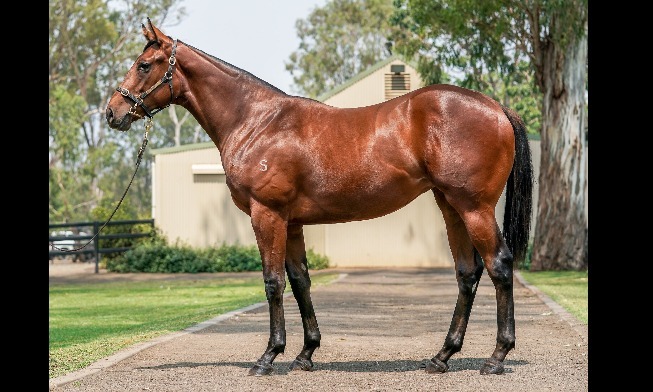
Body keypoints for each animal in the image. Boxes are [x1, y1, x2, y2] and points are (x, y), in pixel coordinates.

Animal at [105, 19, 528, 376]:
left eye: (144, 65)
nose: (113, 113)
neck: (257, 122)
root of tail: (496, 106)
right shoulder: (291, 223)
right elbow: (300, 281)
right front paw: (305, 354)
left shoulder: (267, 215)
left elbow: (273, 282)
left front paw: (268, 357)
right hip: (450, 206)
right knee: (467, 273)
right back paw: (441, 357)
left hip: (474, 208)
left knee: (499, 265)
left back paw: (496, 357)